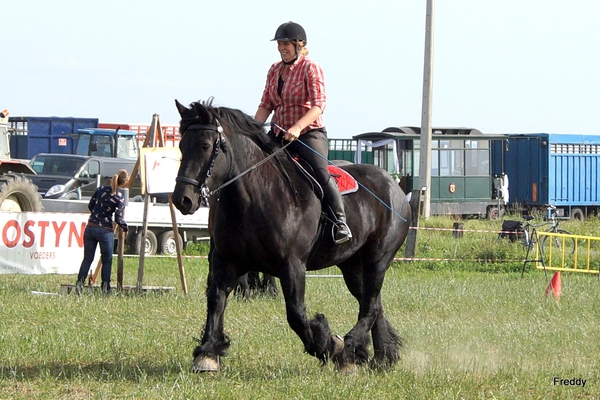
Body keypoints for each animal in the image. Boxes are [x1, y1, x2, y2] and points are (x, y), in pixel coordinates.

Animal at [171, 99, 410, 372]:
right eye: (181, 145)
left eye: (206, 145)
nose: (182, 200)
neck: (255, 198)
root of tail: (394, 186)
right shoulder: (225, 260)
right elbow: (216, 301)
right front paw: (208, 353)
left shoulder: (292, 266)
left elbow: (296, 314)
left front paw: (328, 344)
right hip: (352, 265)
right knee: (373, 303)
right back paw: (381, 356)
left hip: (377, 259)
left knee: (369, 306)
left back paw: (350, 347)